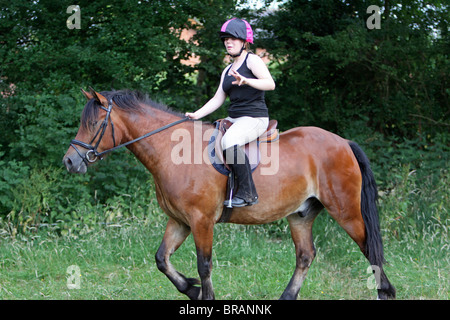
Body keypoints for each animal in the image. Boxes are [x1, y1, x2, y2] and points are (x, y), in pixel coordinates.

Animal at [62, 88, 394, 300]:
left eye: (94, 124)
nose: (69, 162)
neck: (173, 150)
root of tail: (342, 142)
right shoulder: (179, 221)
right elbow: (161, 259)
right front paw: (192, 290)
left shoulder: (201, 221)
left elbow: (204, 265)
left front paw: (203, 295)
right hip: (301, 214)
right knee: (305, 256)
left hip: (346, 211)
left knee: (369, 250)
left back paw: (385, 292)